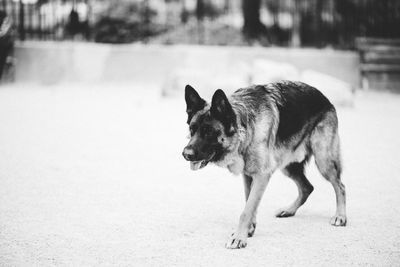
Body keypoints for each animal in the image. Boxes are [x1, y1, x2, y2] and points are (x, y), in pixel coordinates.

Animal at [182, 81, 346, 249]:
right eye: (191, 129)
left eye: (208, 132)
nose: (186, 154)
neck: (244, 127)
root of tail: (324, 97)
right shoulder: (248, 175)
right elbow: (250, 202)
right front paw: (249, 229)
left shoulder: (262, 175)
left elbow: (247, 209)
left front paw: (239, 237)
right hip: (288, 166)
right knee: (307, 187)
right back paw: (289, 210)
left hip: (324, 161)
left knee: (340, 186)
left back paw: (340, 216)